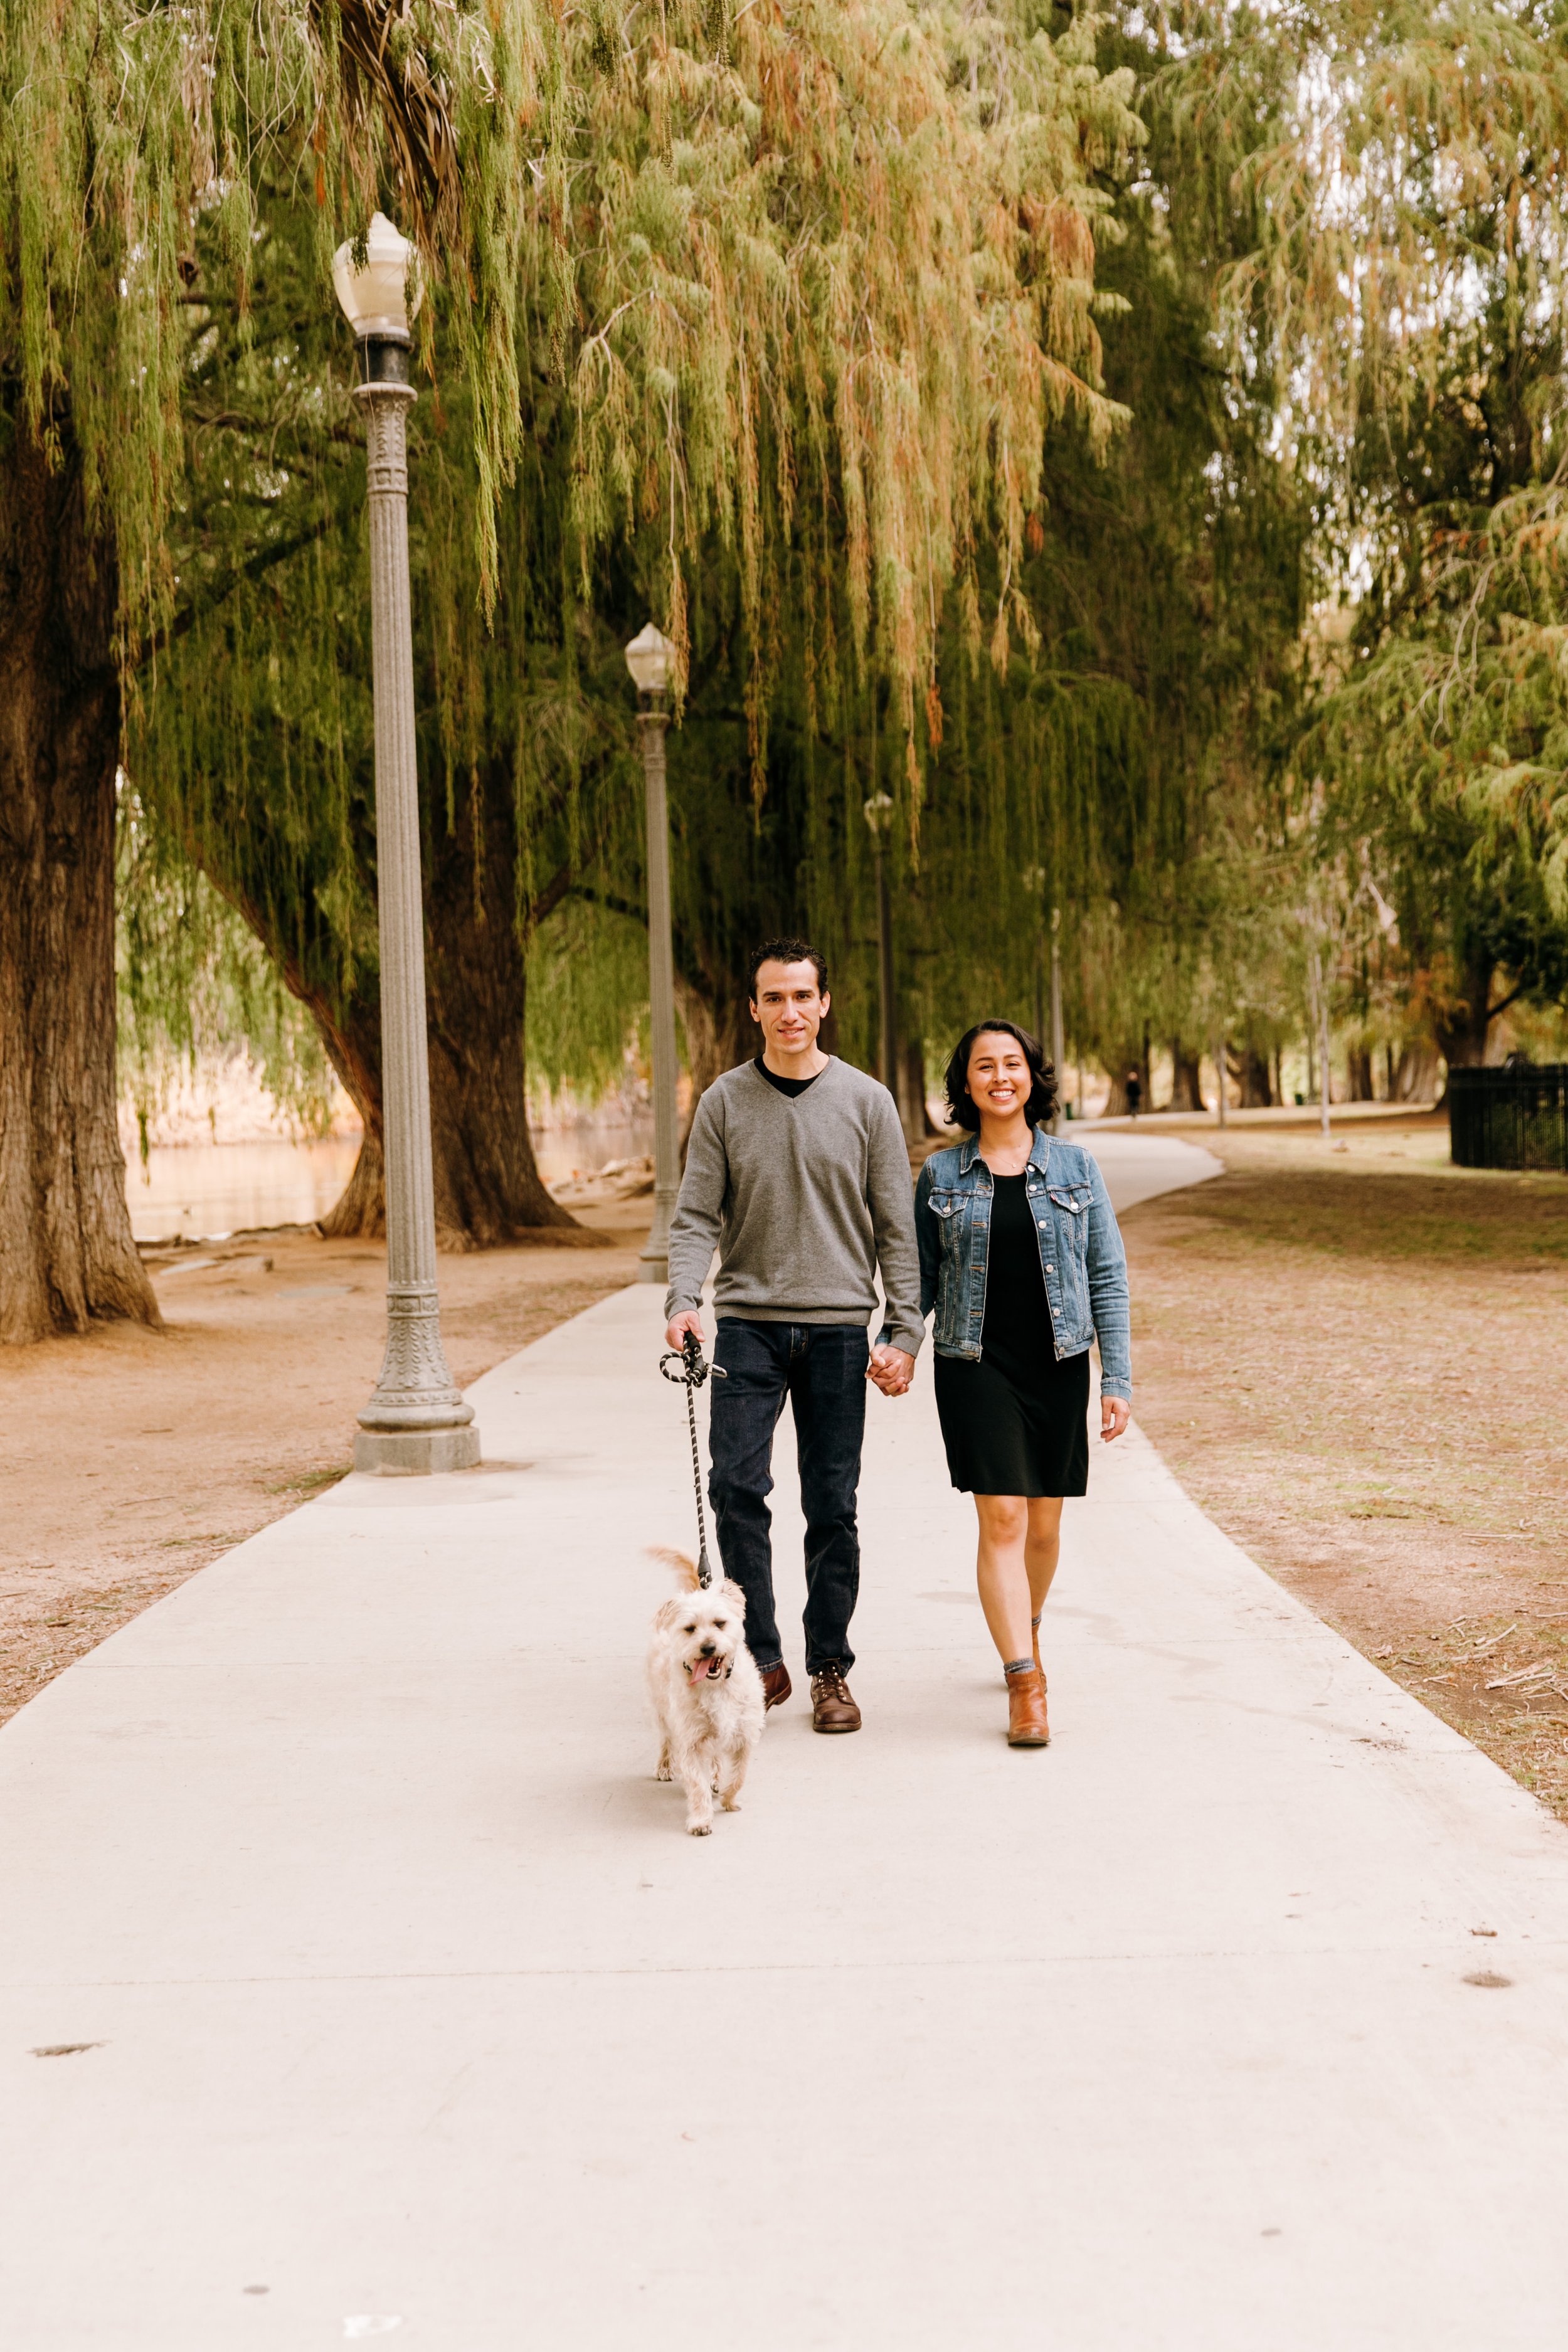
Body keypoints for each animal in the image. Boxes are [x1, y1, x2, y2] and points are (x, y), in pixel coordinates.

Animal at [644, 1552, 766, 1825]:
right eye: (690, 1629)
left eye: (719, 1623)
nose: (708, 1647)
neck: (716, 1685)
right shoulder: (691, 1740)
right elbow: (697, 1785)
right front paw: (700, 1820)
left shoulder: (744, 1735)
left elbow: (739, 1776)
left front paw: (729, 1799)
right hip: (663, 1712)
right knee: (666, 1740)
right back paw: (665, 1766)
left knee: (717, 1758)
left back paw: (717, 1778)